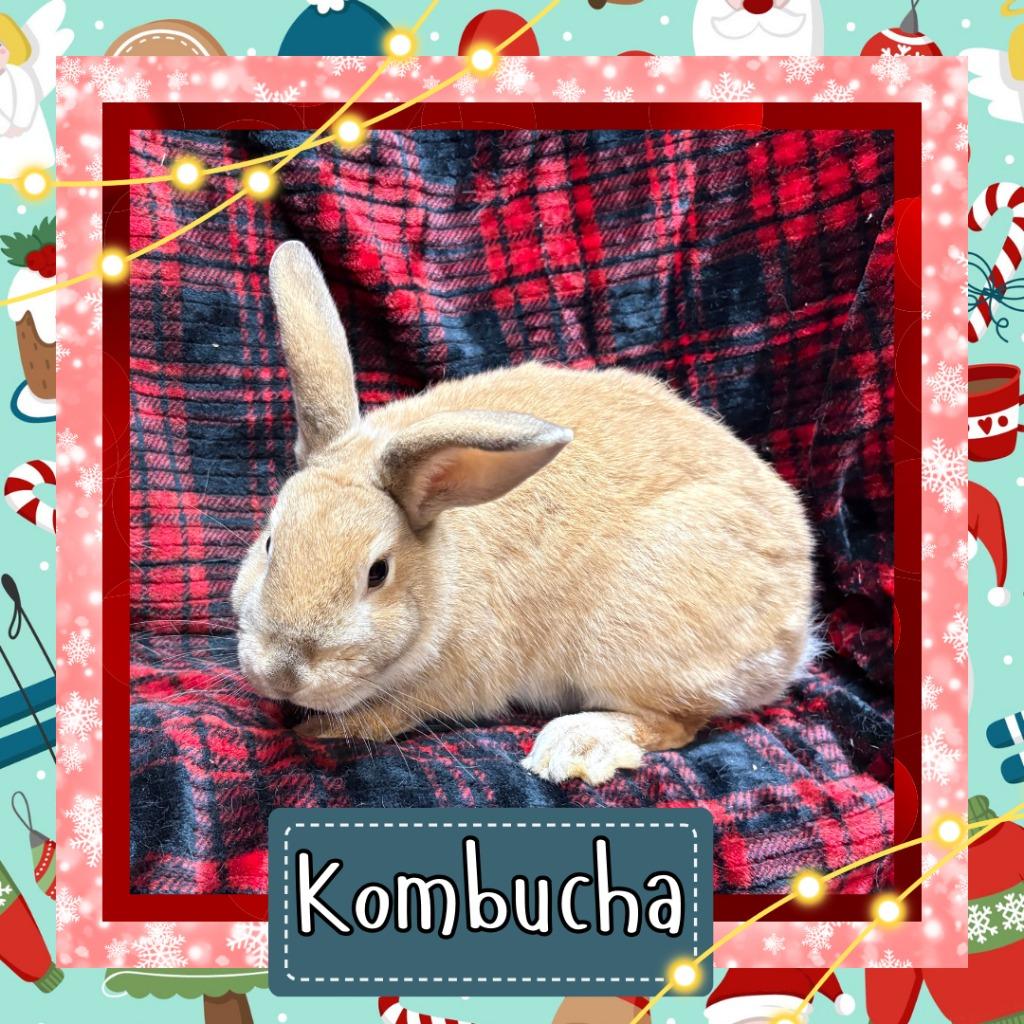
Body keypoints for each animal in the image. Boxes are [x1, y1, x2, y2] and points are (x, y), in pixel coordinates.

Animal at [230, 240, 815, 786]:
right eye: (270, 543)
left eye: (377, 573)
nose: (283, 675)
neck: (442, 575)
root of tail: (797, 627)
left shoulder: (451, 681)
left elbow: (395, 712)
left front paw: (323, 729)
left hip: (630, 644)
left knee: (678, 723)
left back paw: (575, 745)